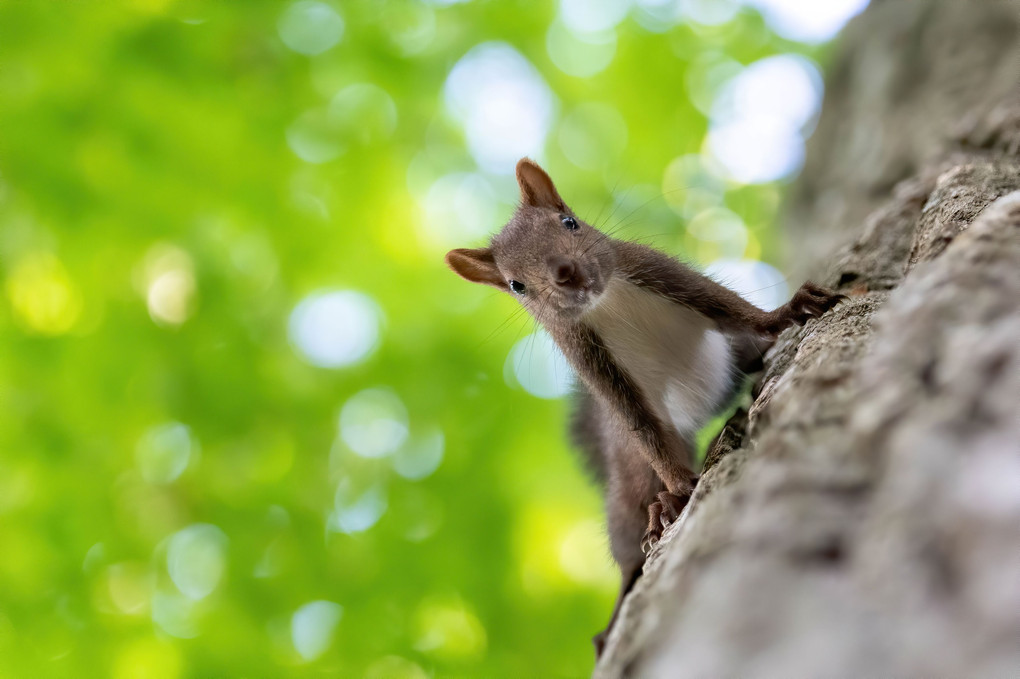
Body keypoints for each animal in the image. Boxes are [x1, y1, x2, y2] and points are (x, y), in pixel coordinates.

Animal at [446, 155, 844, 652]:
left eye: (569, 222)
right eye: (517, 285)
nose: (565, 273)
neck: (606, 303)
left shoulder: (655, 269)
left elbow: (728, 305)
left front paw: (784, 313)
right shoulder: (591, 358)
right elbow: (640, 423)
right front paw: (679, 488)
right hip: (629, 478)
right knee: (630, 533)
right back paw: (652, 526)